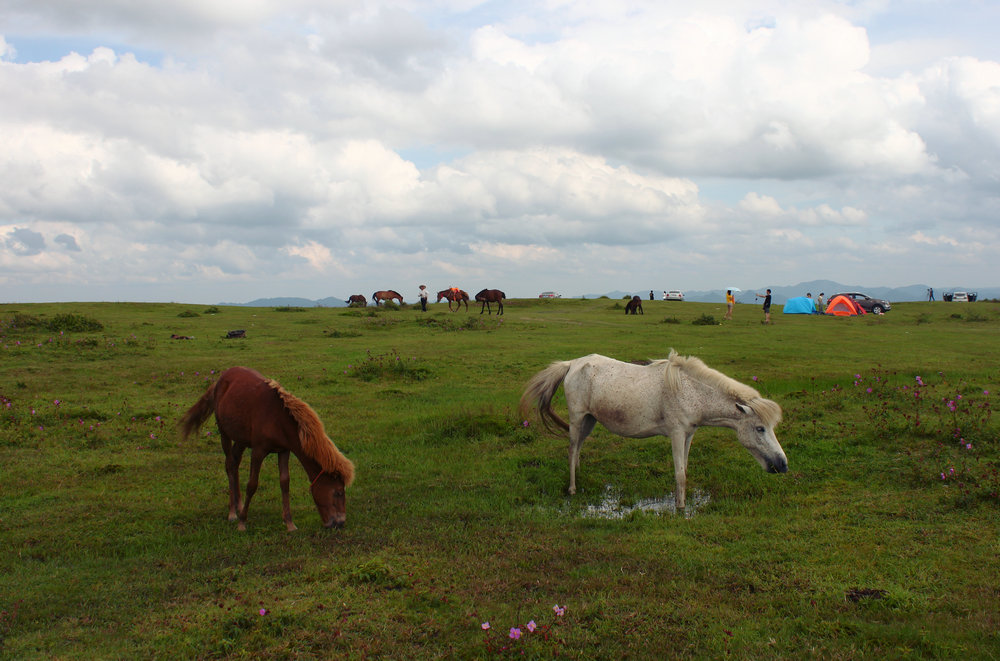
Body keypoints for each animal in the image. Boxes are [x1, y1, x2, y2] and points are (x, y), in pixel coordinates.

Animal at [180, 366, 356, 532]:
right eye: (338, 492)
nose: (340, 523)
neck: (277, 419)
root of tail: (220, 379)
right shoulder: (258, 451)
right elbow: (252, 484)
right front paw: (242, 522)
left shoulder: (284, 451)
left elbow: (285, 483)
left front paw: (289, 523)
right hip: (224, 433)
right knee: (230, 464)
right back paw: (233, 513)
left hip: (242, 439)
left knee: (235, 463)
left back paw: (239, 505)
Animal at [520, 350, 784, 510]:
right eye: (760, 428)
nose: (782, 465)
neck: (691, 391)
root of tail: (572, 364)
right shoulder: (677, 434)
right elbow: (679, 474)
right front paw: (680, 508)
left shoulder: (689, 435)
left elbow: (684, 470)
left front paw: (680, 502)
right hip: (577, 419)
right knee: (571, 448)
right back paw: (573, 488)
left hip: (589, 420)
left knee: (577, 449)